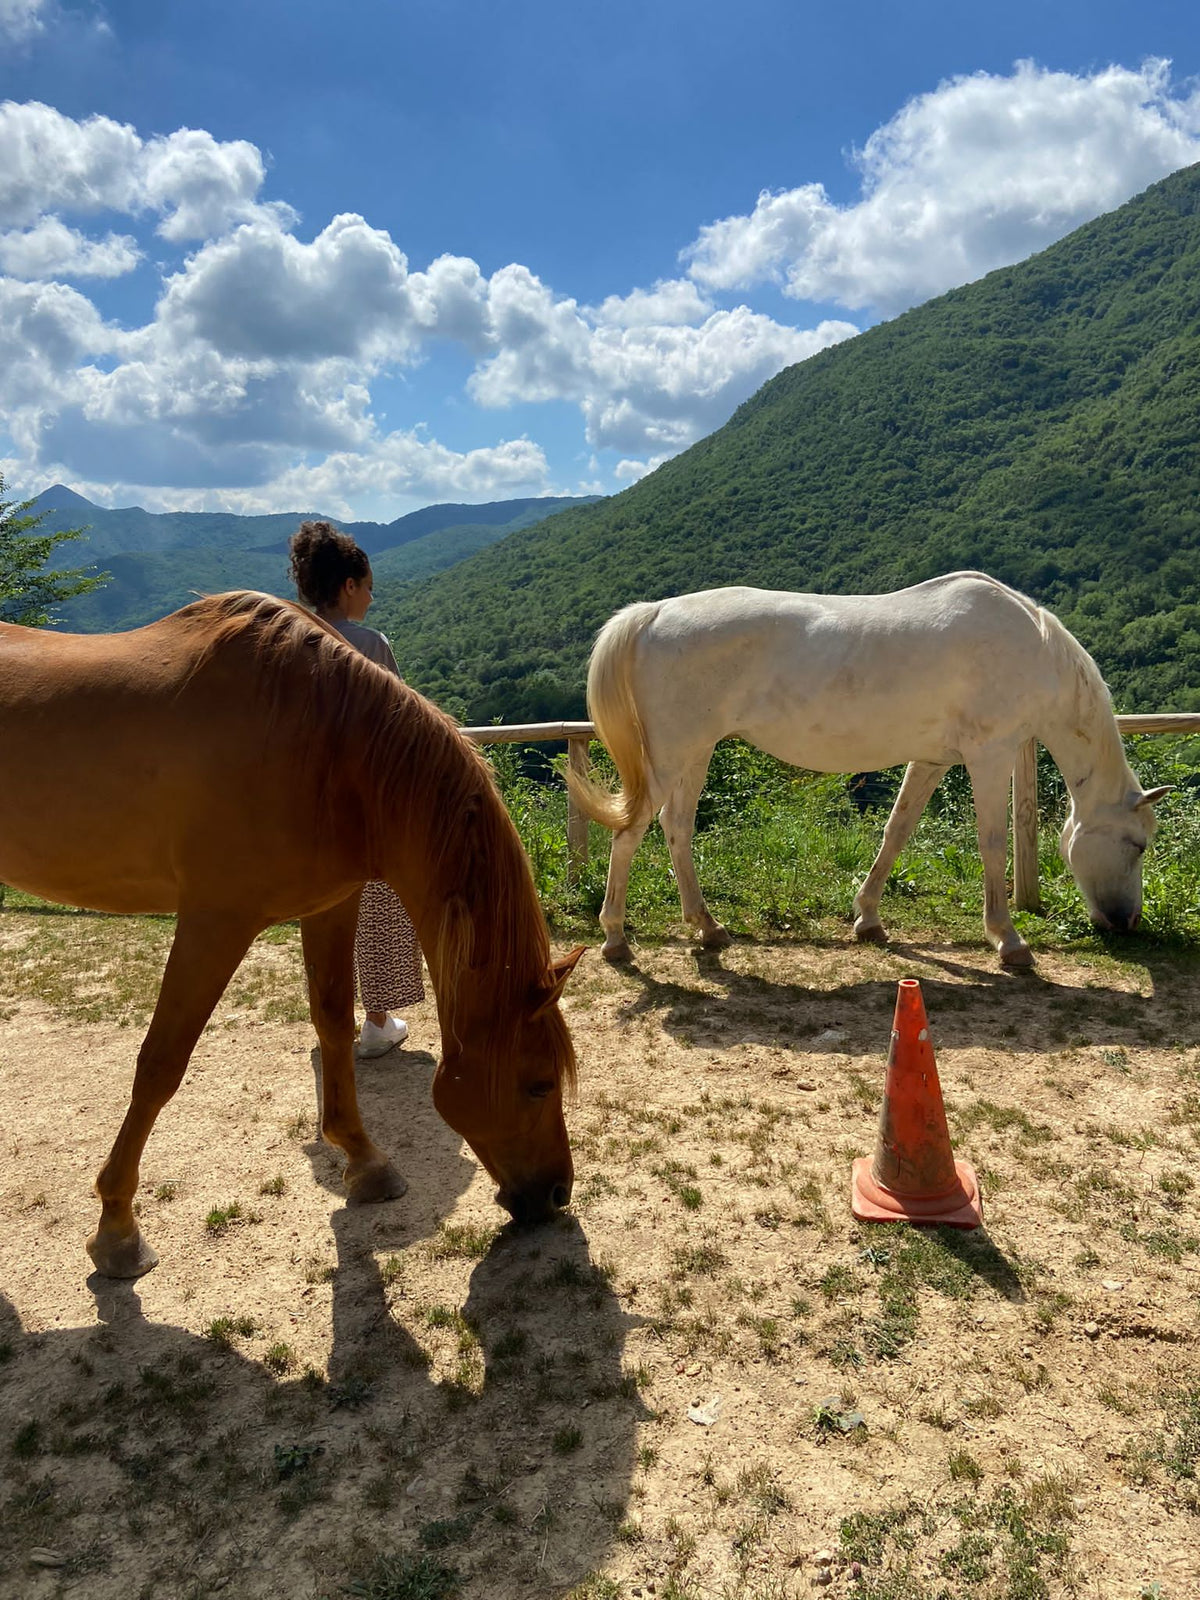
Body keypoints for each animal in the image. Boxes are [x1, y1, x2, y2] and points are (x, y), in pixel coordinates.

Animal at [0, 592, 583, 1278]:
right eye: (539, 1083)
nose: (557, 1193)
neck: (322, 740)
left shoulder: (331, 904)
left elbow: (333, 1021)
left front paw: (366, 1163)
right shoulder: (215, 921)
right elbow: (161, 1064)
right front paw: (117, 1228)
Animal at [568, 572, 1169, 968]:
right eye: (1137, 845)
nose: (1128, 923)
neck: (1030, 647)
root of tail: (655, 612)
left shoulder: (930, 760)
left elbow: (896, 831)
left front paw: (868, 918)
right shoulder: (990, 755)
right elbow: (992, 843)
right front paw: (1007, 939)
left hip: (694, 754)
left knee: (676, 829)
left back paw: (707, 927)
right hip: (671, 757)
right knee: (630, 834)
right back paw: (615, 937)